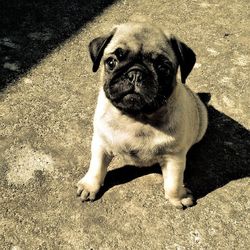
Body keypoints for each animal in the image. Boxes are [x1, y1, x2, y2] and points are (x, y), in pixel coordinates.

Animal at [75, 20, 207, 209]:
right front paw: (90, 186)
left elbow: (173, 183)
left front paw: (178, 197)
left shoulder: (174, 157)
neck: (136, 118)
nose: (135, 73)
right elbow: (96, 167)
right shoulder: (100, 143)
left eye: (163, 68)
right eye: (111, 62)